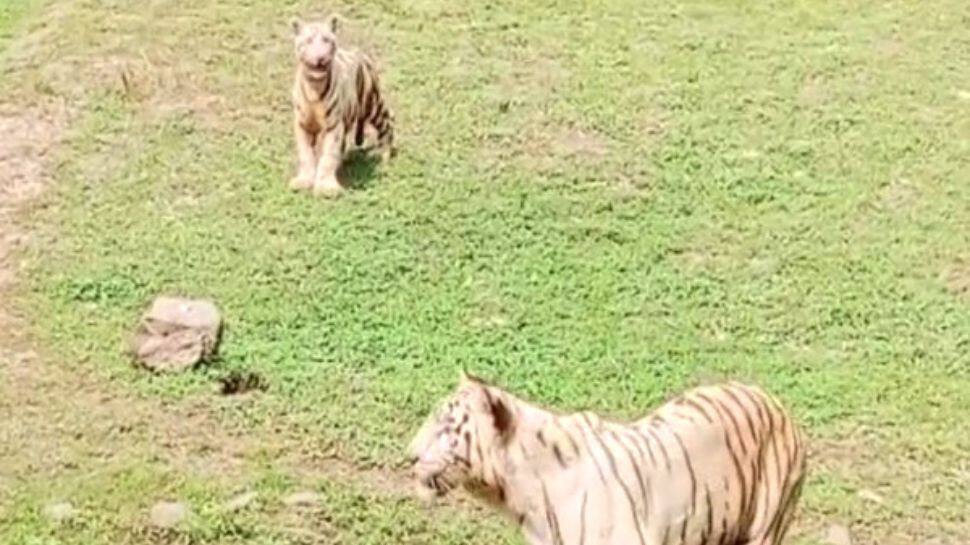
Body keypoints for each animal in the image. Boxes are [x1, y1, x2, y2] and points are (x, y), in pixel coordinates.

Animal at [288, 13, 394, 198]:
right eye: (308, 41)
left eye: (326, 40)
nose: (320, 57)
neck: (314, 86)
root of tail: (362, 54)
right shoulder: (303, 125)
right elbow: (306, 154)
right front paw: (304, 181)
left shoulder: (333, 126)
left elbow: (328, 154)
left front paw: (326, 187)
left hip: (373, 104)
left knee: (388, 124)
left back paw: (385, 159)